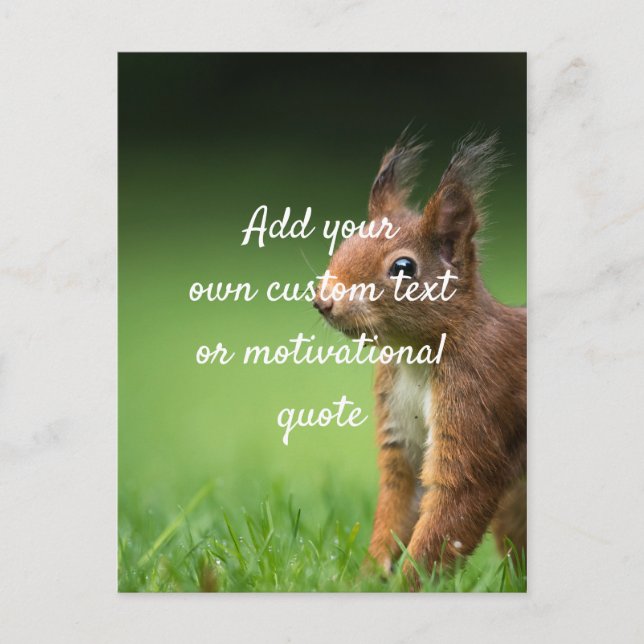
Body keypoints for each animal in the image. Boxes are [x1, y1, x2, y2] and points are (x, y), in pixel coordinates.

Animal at [313, 132, 526, 586]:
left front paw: (407, 585)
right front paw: (366, 580)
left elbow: (455, 503)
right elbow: (399, 500)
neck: (415, 356)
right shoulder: (400, 428)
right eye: (346, 242)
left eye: (403, 267)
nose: (324, 300)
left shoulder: (478, 396)